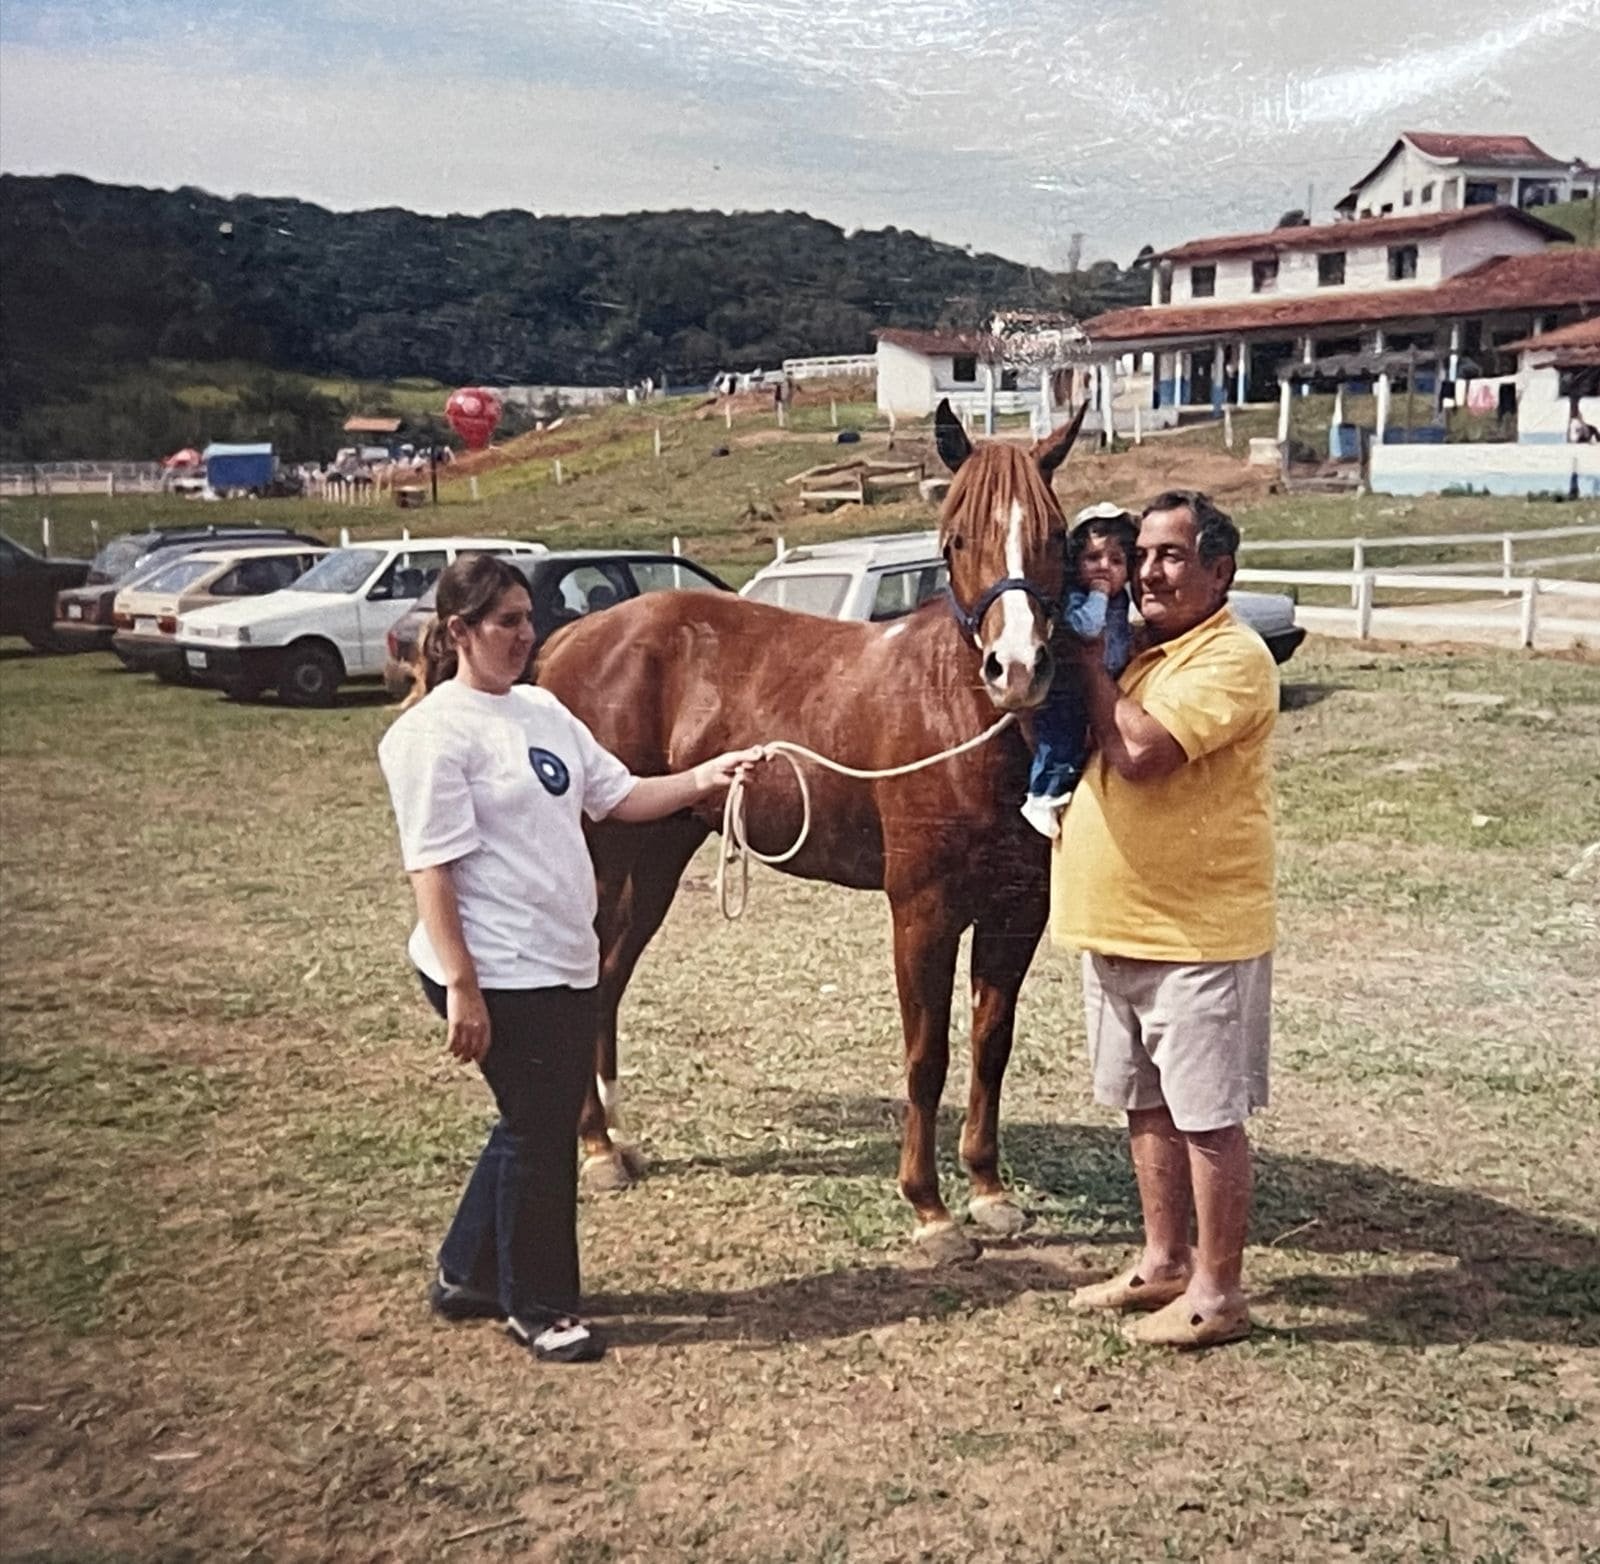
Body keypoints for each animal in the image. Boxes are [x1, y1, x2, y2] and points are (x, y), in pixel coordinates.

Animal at [535, 399, 1086, 1263]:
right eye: (955, 538)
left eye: (1058, 535)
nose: (1018, 668)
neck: (957, 715)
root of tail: (575, 636)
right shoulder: (921, 913)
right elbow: (926, 1056)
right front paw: (930, 1210)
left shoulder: (1016, 912)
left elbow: (990, 1045)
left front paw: (989, 1192)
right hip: (605, 858)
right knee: (589, 978)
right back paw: (595, 1150)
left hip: (658, 859)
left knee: (610, 979)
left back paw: (613, 1141)